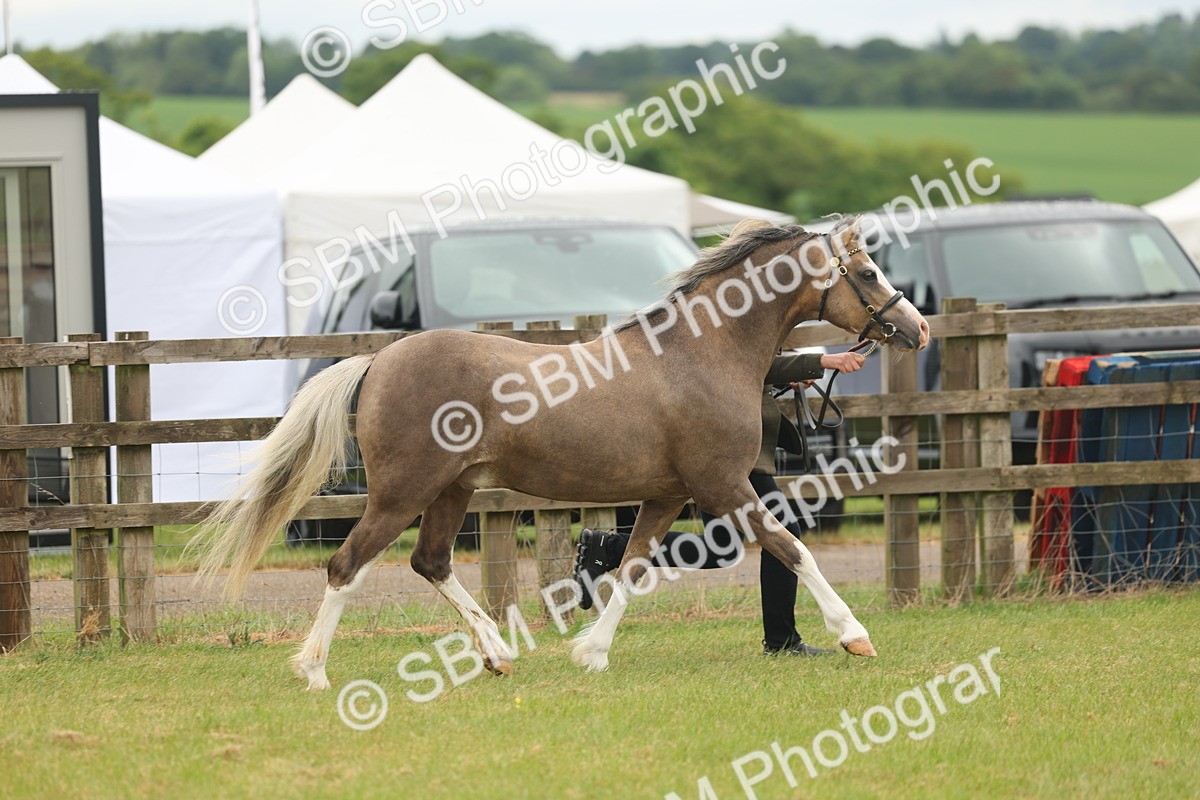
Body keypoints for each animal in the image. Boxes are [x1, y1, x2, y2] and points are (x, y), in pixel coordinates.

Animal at [193, 216, 930, 690]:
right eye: (867, 272)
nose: (917, 328)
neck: (701, 354)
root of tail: (378, 360)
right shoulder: (725, 488)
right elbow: (792, 548)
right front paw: (854, 635)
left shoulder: (667, 494)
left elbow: (633, 567)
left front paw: (591, 653)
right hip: (402, 492)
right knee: (347, 565)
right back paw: (314, 670)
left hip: (454, 490)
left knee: (430, 562)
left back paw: (497, 656)